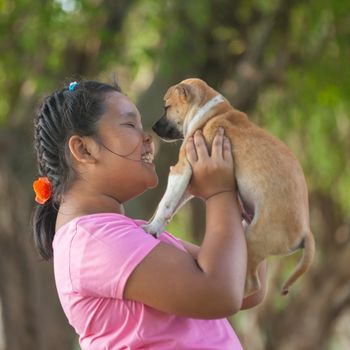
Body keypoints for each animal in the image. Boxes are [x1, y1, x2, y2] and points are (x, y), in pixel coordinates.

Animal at [142, 78, 314, 296]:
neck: (209, 111)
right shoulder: (187, 183)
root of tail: (306, 230)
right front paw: (154, 227)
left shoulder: (180, 170)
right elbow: (167, 207)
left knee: (250, 284)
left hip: (253, 241)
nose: (153, 128)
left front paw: (151, 228)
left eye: (167, 108)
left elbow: (165, 204)